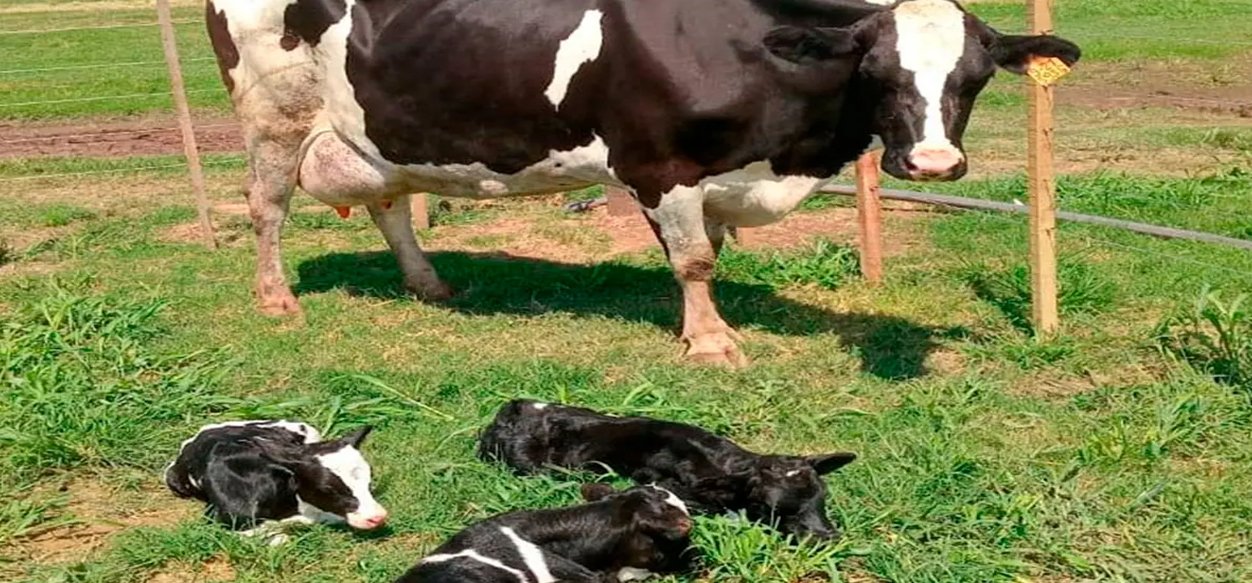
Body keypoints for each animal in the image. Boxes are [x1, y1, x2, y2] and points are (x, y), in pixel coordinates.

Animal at [206, 0, 1080, 366]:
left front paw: (711, 320)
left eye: (973, 78)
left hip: (373, 128)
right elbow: (693, 259)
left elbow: (711, 252)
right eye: (876, 70)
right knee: (268, 207)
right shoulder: (659, 164)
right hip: (274, 113)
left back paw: (429, 282)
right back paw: (276, 297)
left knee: (389, 204)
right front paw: (711, 339)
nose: (933, 166)